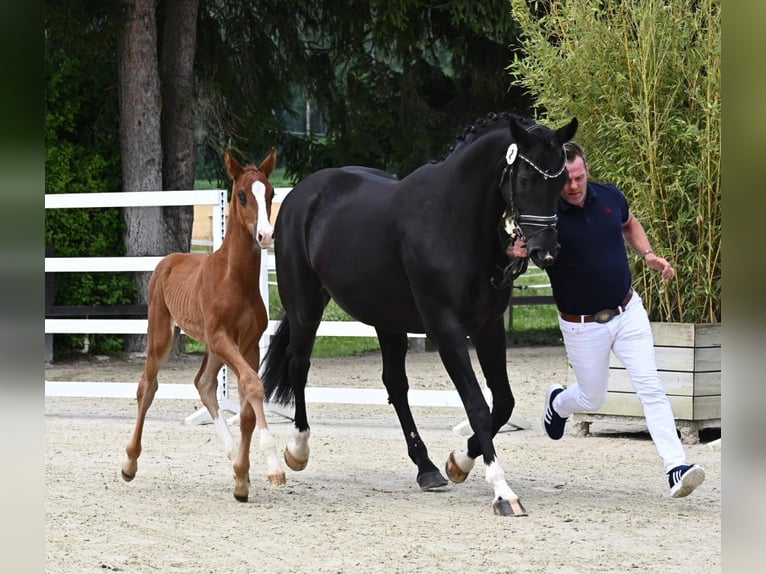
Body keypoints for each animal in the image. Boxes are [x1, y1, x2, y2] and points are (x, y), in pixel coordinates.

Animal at [262, 112, 576, 516]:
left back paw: (426, 468)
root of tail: (301, 194)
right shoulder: (446, 328)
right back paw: (298, 451)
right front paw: (502, 492)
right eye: (524, 179)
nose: (545, 252)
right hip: (306, 305)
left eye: (562, 181)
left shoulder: (489, 327)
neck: (453, 220)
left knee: (395, 383)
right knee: (299, 366)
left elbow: (503, 402)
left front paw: (458, 462)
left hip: (386, 318)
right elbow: (477, 405)